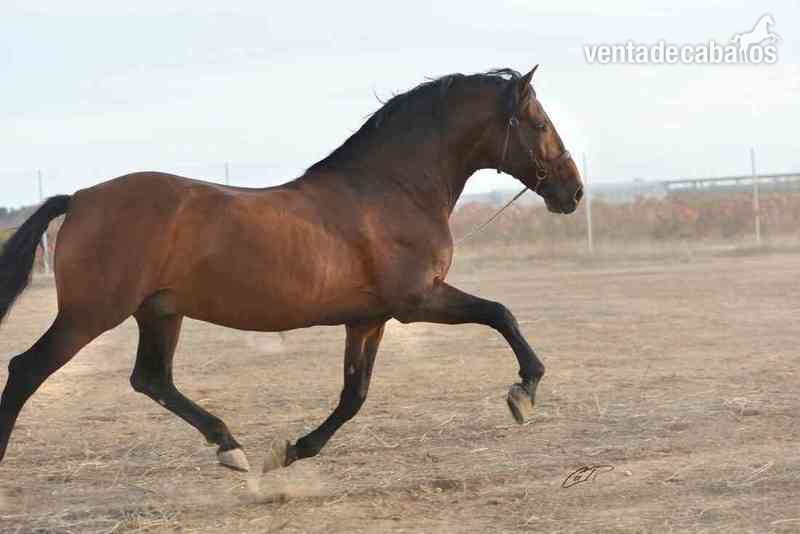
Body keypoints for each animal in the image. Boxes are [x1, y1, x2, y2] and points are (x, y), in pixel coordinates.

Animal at [0, 66, 582, 474]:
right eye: (539, 123)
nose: (573, 192)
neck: (391, 190)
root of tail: (79, 198)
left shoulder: (368, 319)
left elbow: (354, 396)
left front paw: (292, 451)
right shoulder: (418, 301)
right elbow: (500, 313)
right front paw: (523, 393)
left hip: (159, 312)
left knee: (151, 378)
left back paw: (231, 448)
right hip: (92, 313)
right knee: (27, 369)